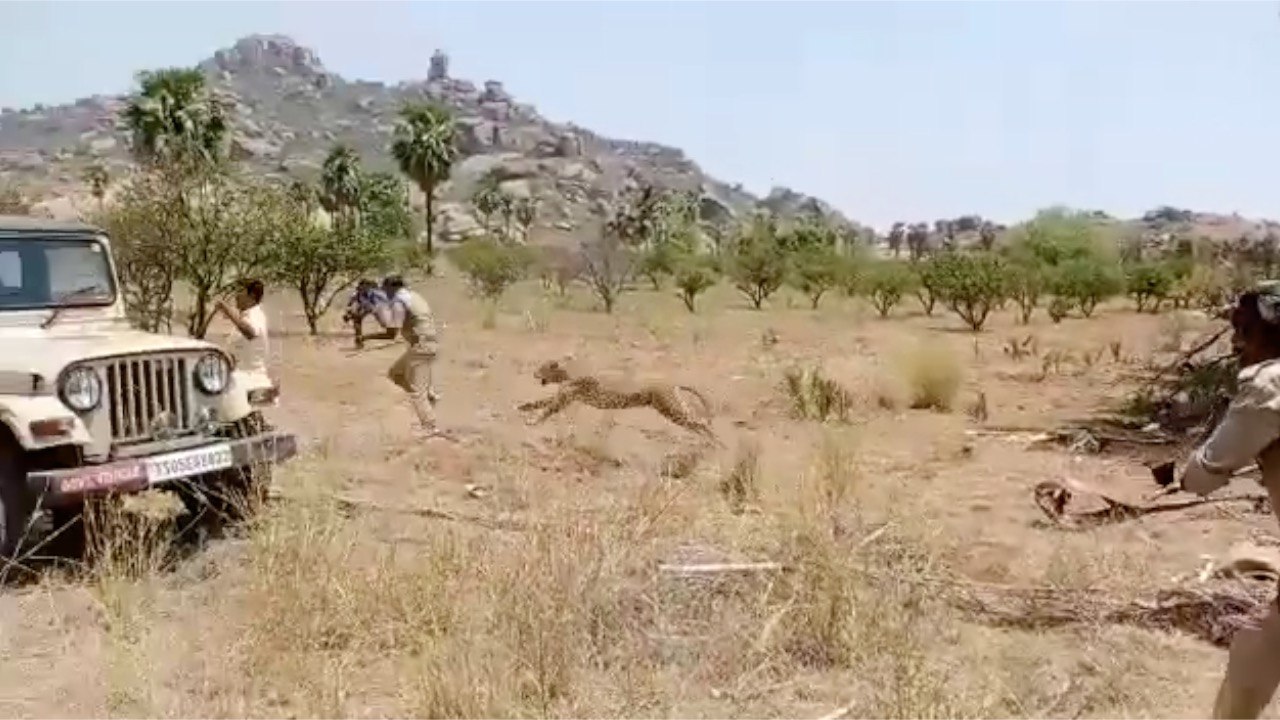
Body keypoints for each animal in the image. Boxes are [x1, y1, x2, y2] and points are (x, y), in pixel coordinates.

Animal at [517, 357, 721, 445]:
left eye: (541, 367)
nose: (534, 373)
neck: (565, 373)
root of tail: (671, 381)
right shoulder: (567, 397)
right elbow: (541, 402)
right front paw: (523, 407)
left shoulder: (567, 396)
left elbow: (548, 407)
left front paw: (532, 420)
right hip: (672, 407)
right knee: (696, 422)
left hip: (669, 408)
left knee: (700, 424)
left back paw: (714, 443)